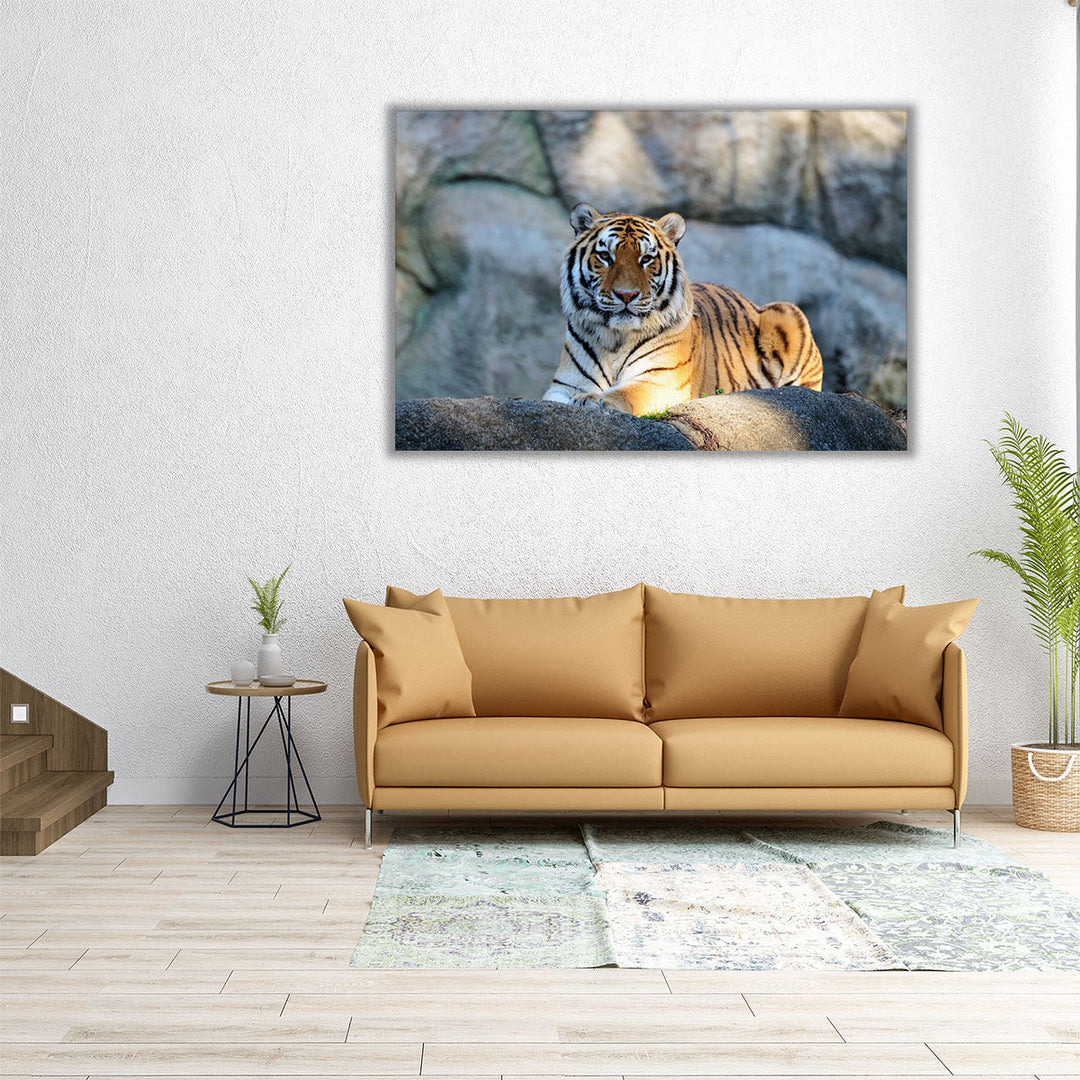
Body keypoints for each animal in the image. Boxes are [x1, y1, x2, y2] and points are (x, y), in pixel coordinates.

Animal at [542, 203, 824, 416]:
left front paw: (592, 400)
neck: (615, 338)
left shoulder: (659, 380)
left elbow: (623, 393)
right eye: (605, 257)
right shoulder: (565, 384)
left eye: (646, 259)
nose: (626, 295)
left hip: (787, 313)